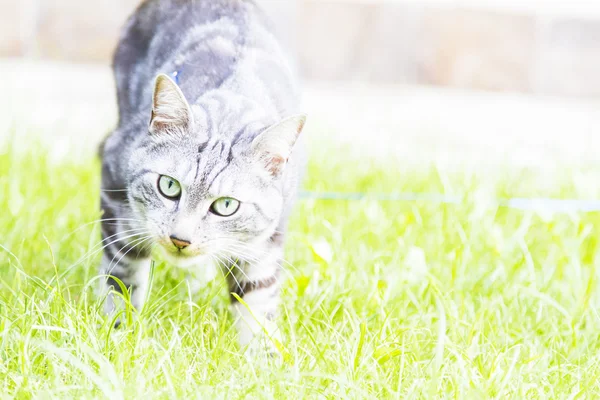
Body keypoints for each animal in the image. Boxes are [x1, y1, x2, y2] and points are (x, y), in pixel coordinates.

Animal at [99, 0, 304, 352]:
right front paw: (118, 333)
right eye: (168, 186)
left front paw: (262, 358)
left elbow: (259, 298)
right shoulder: (115, 186)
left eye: (226, 205)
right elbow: (123, 275)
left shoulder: (267, 237)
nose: (180, 239)